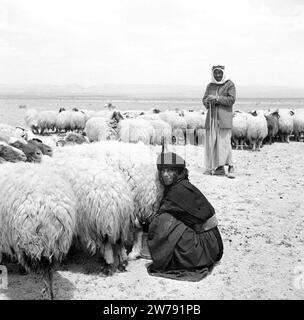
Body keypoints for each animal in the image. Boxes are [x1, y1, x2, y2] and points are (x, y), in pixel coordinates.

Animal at [0, 164, 77, 298]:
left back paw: (45, 294)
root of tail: (50, 209)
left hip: (33, 241)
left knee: (45, 272)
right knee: (49, 272)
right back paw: (51, 294)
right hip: (54, 245)